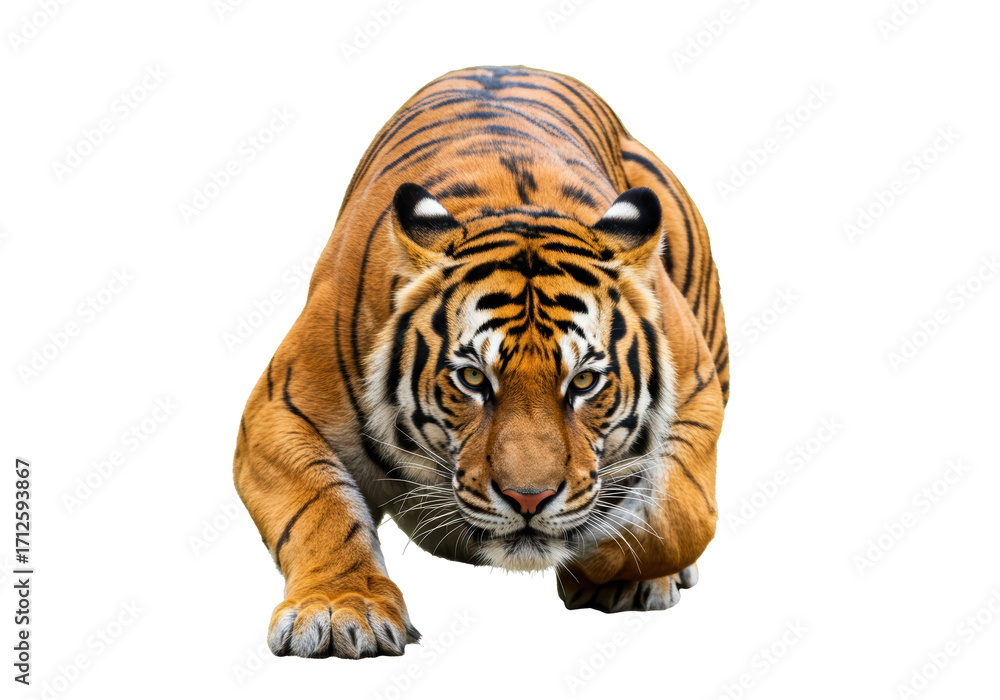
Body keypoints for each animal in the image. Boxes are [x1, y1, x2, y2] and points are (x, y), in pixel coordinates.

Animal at [233, 65, 729, 659]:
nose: (528, 499)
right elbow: (321, 509)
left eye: (584, 381)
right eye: (473, 378)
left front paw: (605, 556)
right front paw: (338, 609)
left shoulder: (698, 391)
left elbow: (680, 514)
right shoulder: (279, 410)